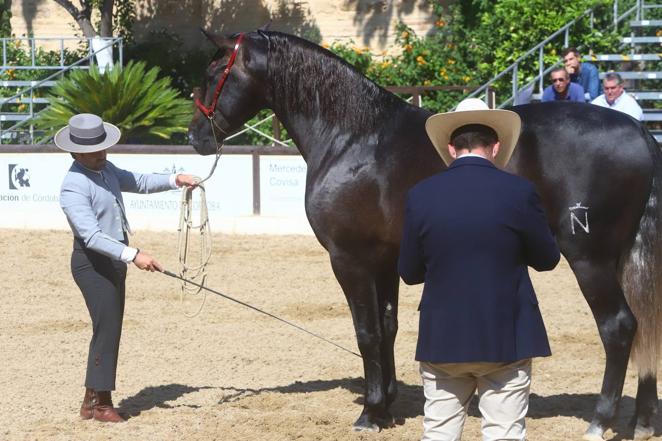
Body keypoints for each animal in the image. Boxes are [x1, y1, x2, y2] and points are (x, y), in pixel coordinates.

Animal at [187, 29, 662, 438]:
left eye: (213, 74)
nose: (195, 137)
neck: (353, 138)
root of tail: (641, 131)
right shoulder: (384, 259)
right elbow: (388, 327)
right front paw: (386, 407)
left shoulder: (348, 258)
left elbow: (366, 331)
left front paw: (369, 413)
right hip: (623, 257)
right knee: (646, 324)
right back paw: (642, 421)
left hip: (589, 258)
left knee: (619, 327)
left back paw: (600, 421)